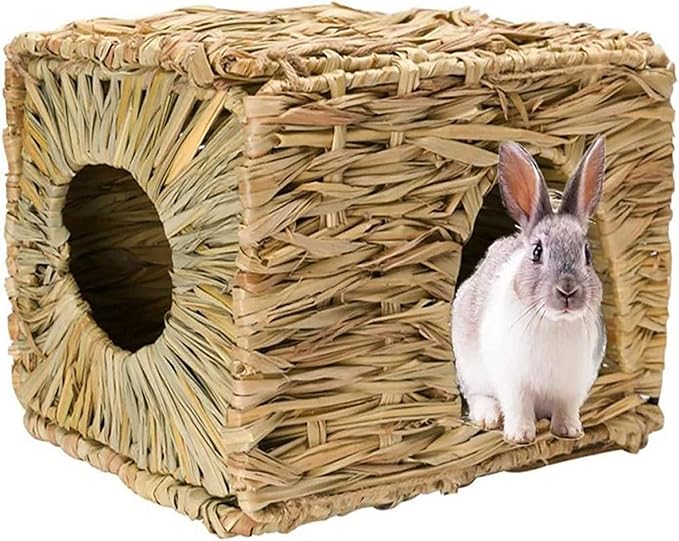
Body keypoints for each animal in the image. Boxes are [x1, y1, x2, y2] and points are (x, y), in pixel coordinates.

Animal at [451, 137, 607, 444]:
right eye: (536, 252)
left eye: (587, 254)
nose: (567, 291)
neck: (554, 322)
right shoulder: (514, 383)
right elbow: (519, 407)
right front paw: (520, 436)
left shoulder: (572, 387)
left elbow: (566, 409)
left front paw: (570, 432)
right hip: (469, 368)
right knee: (477, 395)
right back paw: (486, 417)